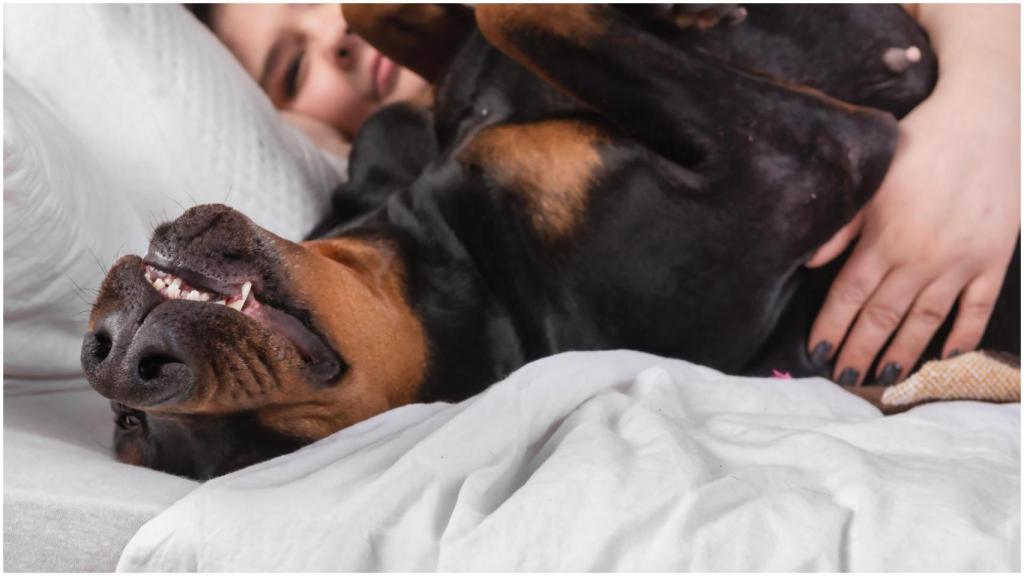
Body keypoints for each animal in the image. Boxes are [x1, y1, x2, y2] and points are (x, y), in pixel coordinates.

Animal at [79, 4, 1015, 477]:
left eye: (128, 420)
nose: (123, 356)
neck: (442, 261)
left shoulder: (391, 132)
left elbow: (416, 19)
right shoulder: (812, 156)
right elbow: (519, 13)